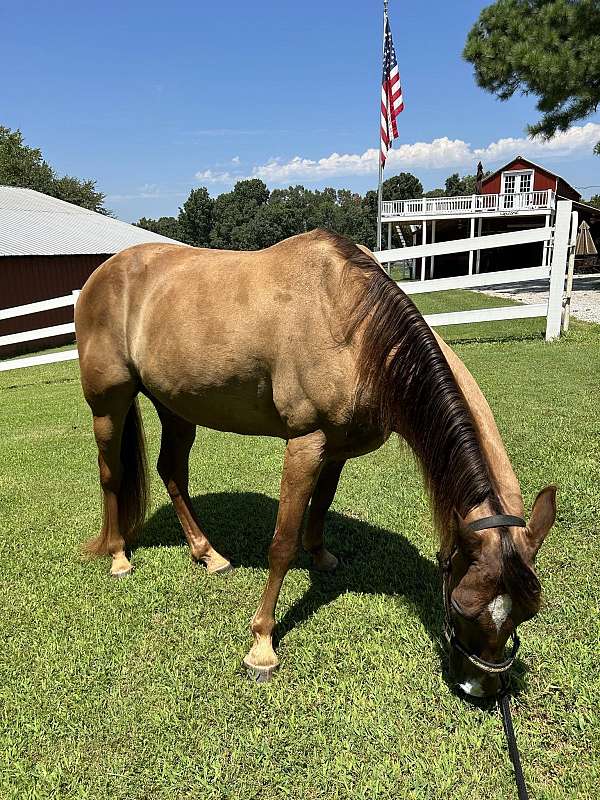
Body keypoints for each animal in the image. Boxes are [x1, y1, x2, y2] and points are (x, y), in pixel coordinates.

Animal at [76, 230, 556, 692]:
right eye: (462, 605)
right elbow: (282, 544)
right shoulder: (306, 444)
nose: (482, 688)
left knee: (172, 472)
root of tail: (100, 275)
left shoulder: (338, 448)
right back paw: (118, 556)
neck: (352, 323)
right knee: (112, 475)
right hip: (109, 406)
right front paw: (262, 647)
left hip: (176, 405)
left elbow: (321, 505)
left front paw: (321, 556)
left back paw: (208, 554)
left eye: (526, 612)